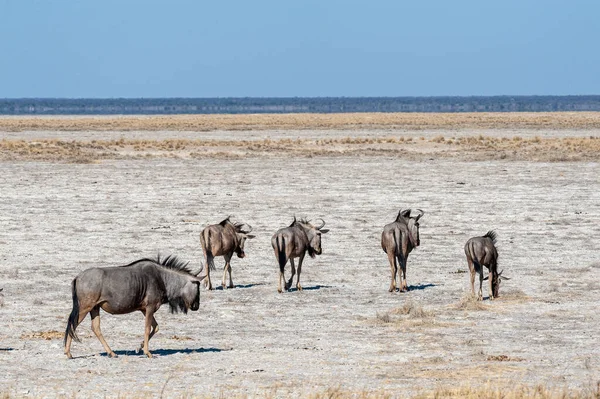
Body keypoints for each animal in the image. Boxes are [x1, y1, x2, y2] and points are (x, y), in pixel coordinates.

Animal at [63, 256, 200, 360]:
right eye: (198, 288)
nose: (196, 306)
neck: (162, 278)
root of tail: (78, 277)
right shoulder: (150, 307)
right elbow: (147, 328)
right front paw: (148, 353)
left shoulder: (144, 310)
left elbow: (155, 327)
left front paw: (139, 347)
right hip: (85, 308)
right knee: (73, 324)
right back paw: (68, 353)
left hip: (95, 308)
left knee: (95, 328)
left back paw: (111, 353)